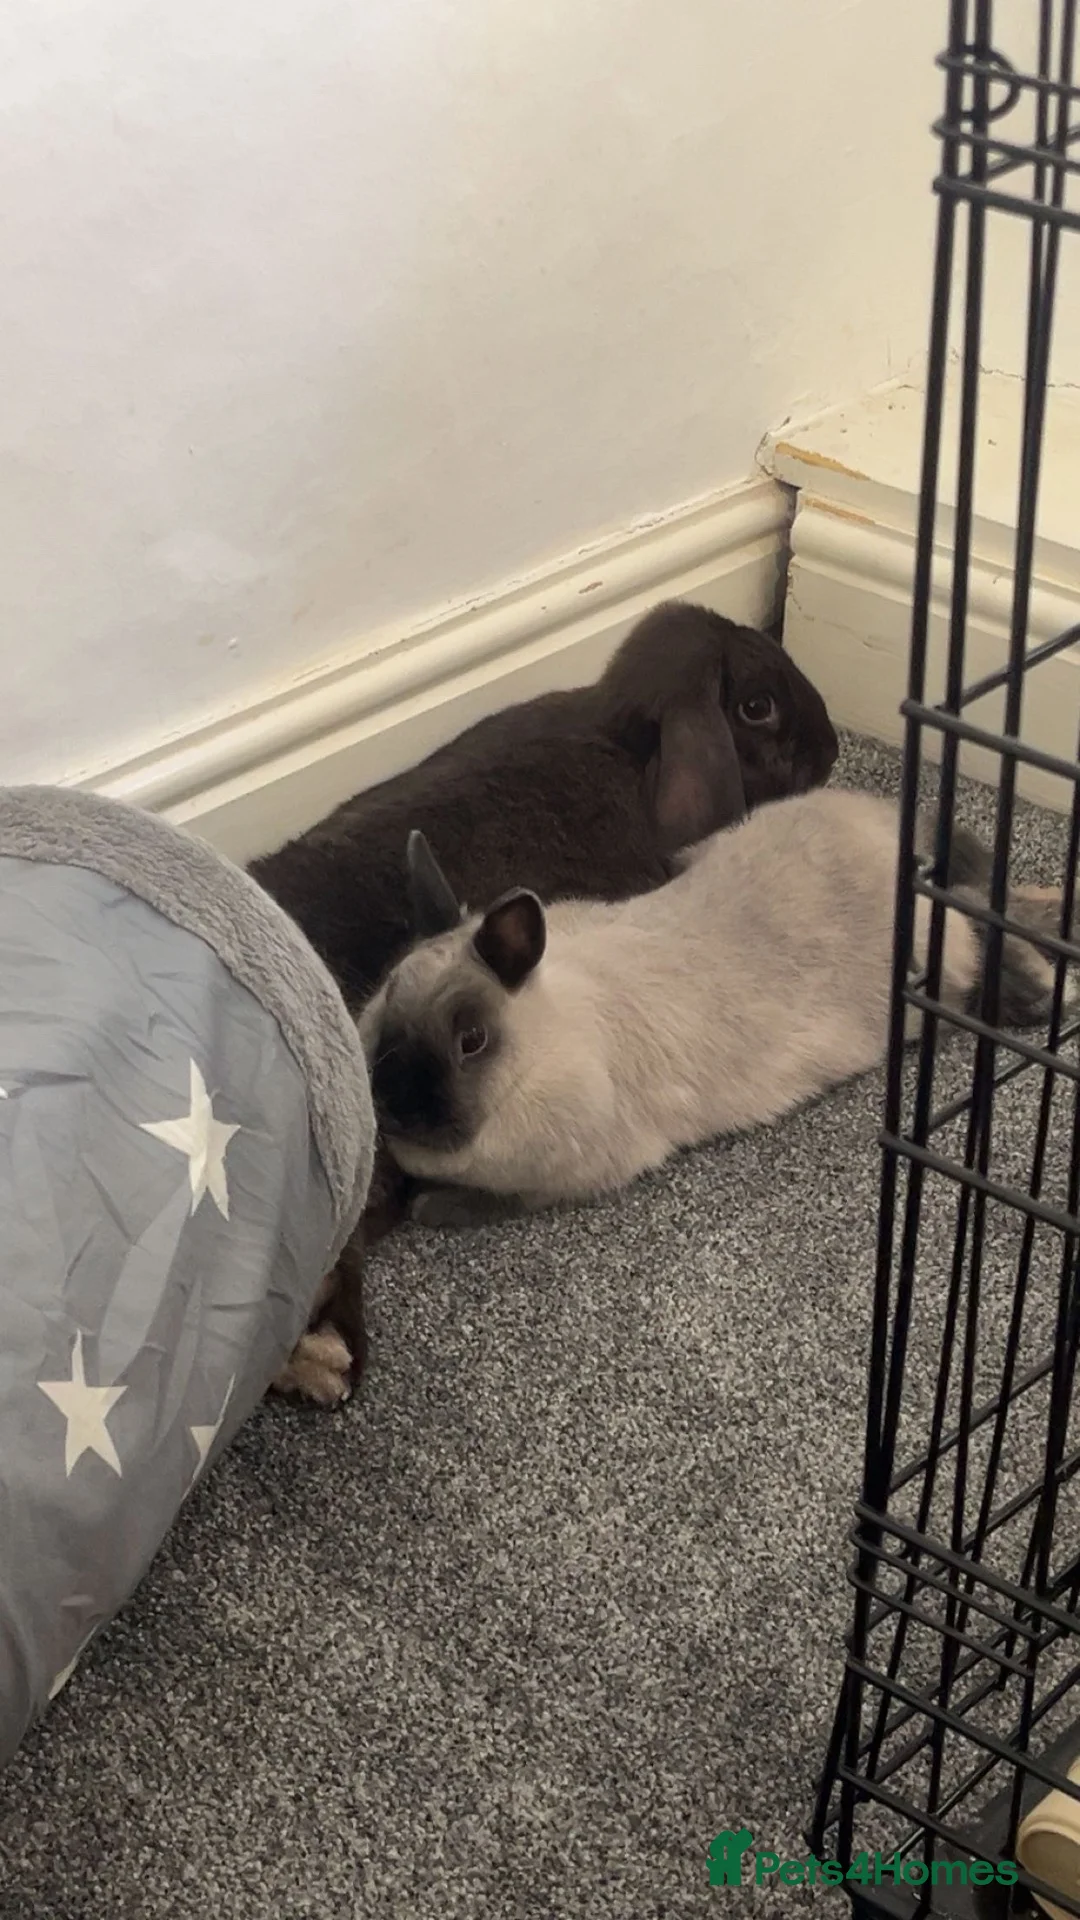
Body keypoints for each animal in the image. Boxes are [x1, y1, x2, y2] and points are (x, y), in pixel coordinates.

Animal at [358, 793, 1078, 1226]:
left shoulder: (565, 1177)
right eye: (384, 1000)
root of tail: (894, 833)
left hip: (935, 961)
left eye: (472, 1041)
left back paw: (1039, 992)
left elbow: (484, 1203)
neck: (537, 1046)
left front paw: (426, 1207)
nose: (393, 1108)